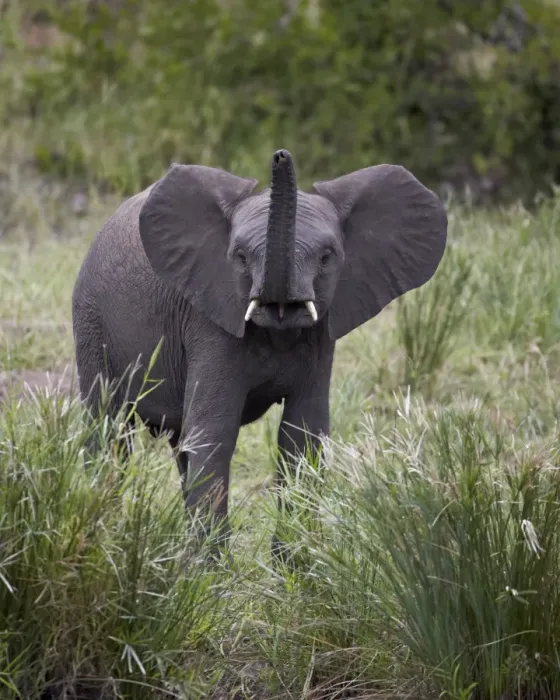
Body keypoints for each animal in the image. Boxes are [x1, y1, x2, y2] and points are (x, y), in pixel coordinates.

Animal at [72, 149, 447, 555]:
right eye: (239, 256)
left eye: (327, 257)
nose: (281, 155)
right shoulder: (211, 320)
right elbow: (214, 434)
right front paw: (212, 567)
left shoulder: (322, 334)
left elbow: (303, 435)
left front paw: (294, 562)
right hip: (91, 320)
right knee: (110, 431)